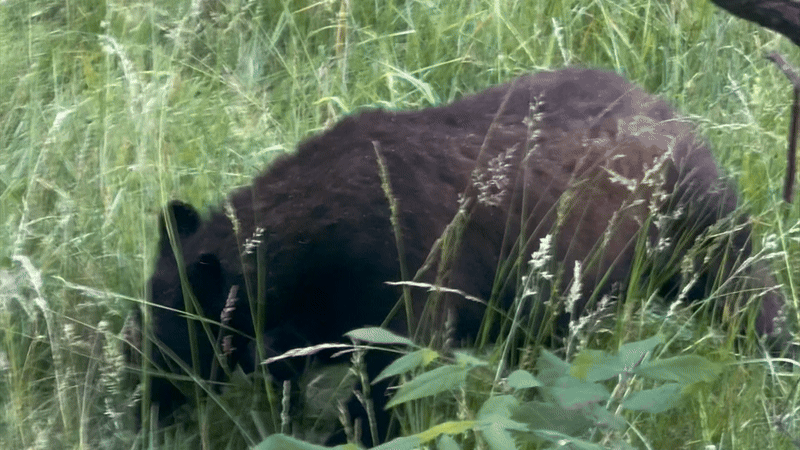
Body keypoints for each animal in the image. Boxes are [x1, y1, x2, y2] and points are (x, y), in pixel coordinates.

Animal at [135, 67, 790, 443]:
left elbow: (383, 399)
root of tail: (666, 108)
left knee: (750, 296)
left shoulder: (408, 301)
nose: (145, 404)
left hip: (700, 228)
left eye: (170, 327)